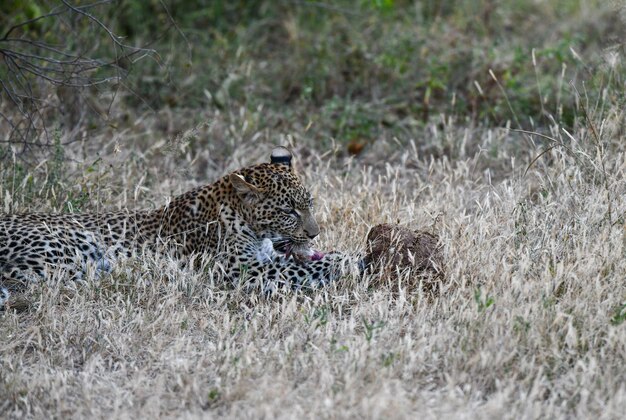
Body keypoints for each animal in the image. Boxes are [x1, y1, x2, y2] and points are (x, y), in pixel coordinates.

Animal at [0, 146, 354, 306]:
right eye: (288, 210)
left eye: (309, 203)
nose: (315, 233)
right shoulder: (239, 270)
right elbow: (297, 269)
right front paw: (347, 261)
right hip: (74, 243)